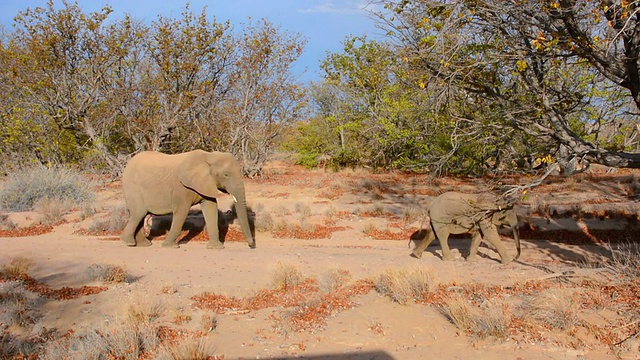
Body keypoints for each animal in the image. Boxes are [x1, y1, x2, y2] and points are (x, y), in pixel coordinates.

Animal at [120, 150, 255, 249]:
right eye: (226, 175)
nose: (251, 245)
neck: (208, 156)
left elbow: (211, 208)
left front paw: (216, 247)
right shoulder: (181, 188)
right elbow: (182, 211)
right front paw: (170, 246)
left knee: (140, 215)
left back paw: (142, 244)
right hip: (133, 188)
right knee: (138, 213)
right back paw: (129, 243)